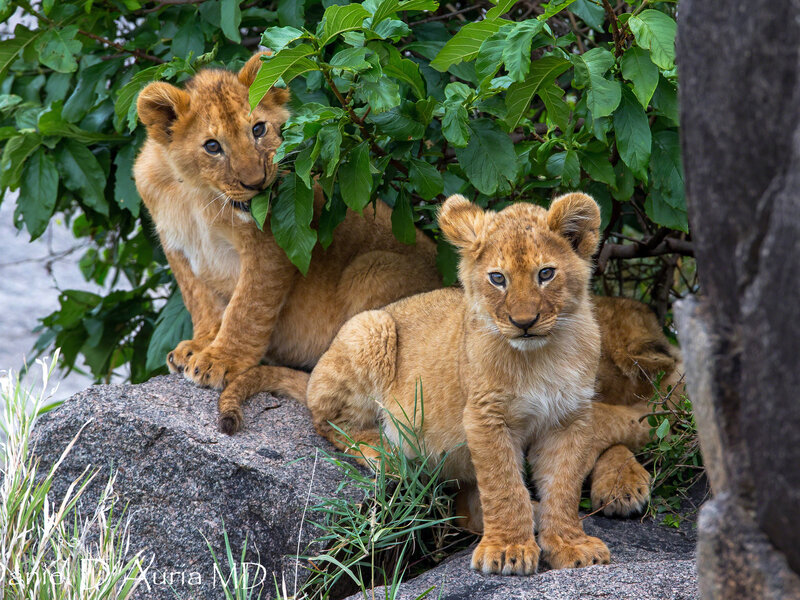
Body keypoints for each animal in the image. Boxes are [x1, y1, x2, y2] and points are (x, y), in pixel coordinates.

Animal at [133, 52, 442, 433]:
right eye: (212, 146)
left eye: (258, 129)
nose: (256, 183)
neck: (199, 195)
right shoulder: (176, 245)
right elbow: (200, 300)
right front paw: (199, 345)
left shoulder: (269, 245)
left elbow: (246, 308)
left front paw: (220, 360)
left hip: (372, 270)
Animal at [303, 192, 661, 574]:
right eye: (498, 278)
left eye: (545, 274)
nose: (524, 322)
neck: (542, 356)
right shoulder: (486, 416)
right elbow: (504, 485)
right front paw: (508, 551)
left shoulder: (569, 418)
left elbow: (563, 485)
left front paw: (570, 545)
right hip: (371, 327)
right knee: (331, 422)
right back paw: (390, 454)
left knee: (467, 511)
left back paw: (533, 514)